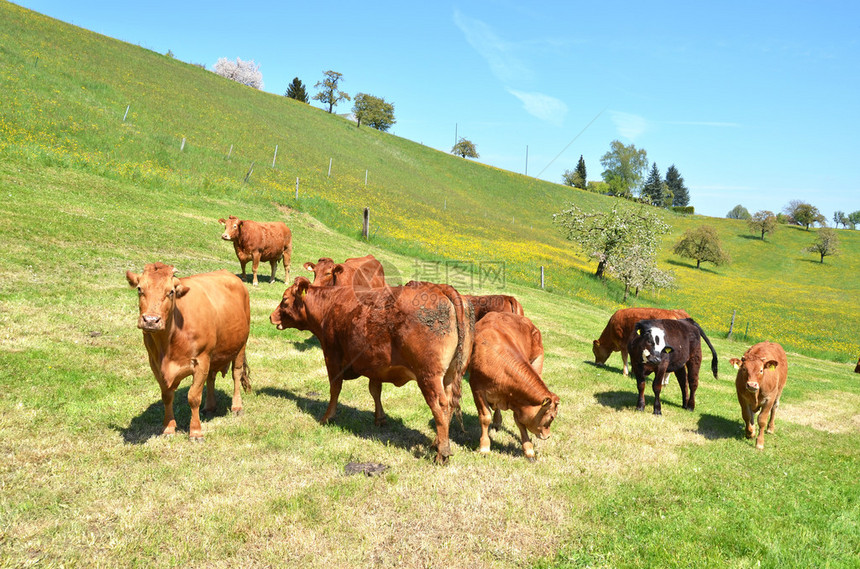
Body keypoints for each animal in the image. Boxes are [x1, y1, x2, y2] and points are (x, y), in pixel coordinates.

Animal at [124, 262, 252, 440]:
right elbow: (167, 396)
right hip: (215, 354)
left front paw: (196, 432)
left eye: (171, 291)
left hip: (241, 345)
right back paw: (209, 407)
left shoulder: (201, 360)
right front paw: (168, 428)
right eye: (139, 289)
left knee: (236, 373)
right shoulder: (155, 363)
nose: (150, 320)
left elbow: (193, 397)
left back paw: (237, 407)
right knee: (211, 377)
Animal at [270, 276, 474, 462]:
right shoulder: (375, 364)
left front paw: (327, 417)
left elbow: (335, 388)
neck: (328, 305)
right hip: (450, 375)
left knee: (440, 405)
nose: (271, 316)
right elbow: (375, 391)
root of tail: (440, 288)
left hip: (429, 376)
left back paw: (442, 452)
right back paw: (437, 443)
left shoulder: (332, 355)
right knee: (449, 405)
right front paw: (380, 418)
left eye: (285, 299)